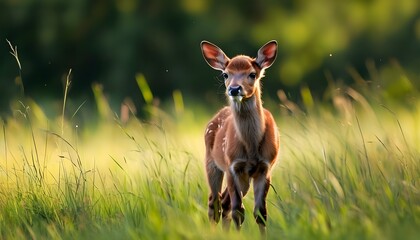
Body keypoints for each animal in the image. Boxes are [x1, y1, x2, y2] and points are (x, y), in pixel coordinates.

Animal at [202, 40, 280, 235]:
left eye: (252, 74)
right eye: (225, 74)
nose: (234, 89)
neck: (251, 148)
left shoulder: (265, 167)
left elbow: (260, 212)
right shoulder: (233, 166)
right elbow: (239, 211)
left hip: (244, 178)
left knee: (224, 202)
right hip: (211, 162)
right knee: (215, 201)